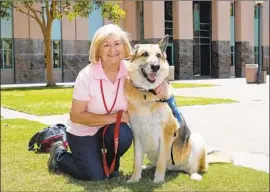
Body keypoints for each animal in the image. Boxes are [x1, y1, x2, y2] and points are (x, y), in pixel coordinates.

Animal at [123, 35, 233, 184]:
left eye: (158, 55)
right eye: (144, 54)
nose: (156, 66)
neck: (147, 94)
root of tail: (176, 168)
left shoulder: (167, 132)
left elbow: (161, 160)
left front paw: (158, 180)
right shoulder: (137, 134)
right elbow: (137, 161)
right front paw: (134, 178)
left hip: (196, 141)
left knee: (192, 169)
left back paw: (194, 174)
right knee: (155, 163)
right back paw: (148, 166)